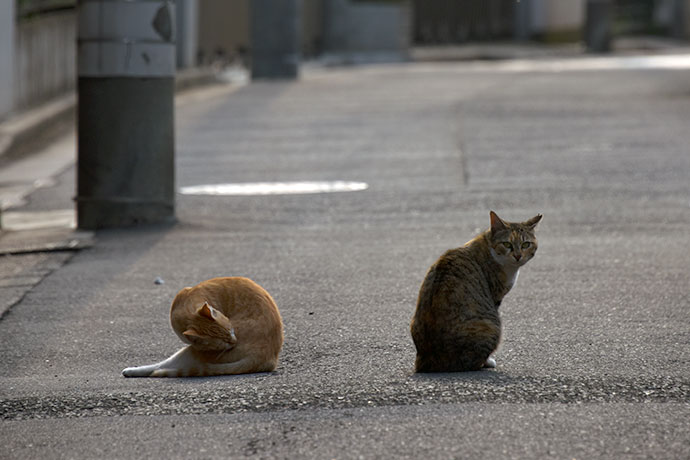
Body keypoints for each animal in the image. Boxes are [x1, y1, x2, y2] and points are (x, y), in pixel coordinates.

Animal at [123, 276, 282, 378]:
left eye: (231, 331)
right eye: (222, 343)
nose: (234, 342)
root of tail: (268, 358)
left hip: (193, 353)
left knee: (162, 365)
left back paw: (132, 371)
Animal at [406, 212, 540, 374]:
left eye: (525, 244)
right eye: (507, 244)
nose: (518, 256)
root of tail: (424, 362)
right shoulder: (495, 297)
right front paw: (489, 361)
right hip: (491, 326)